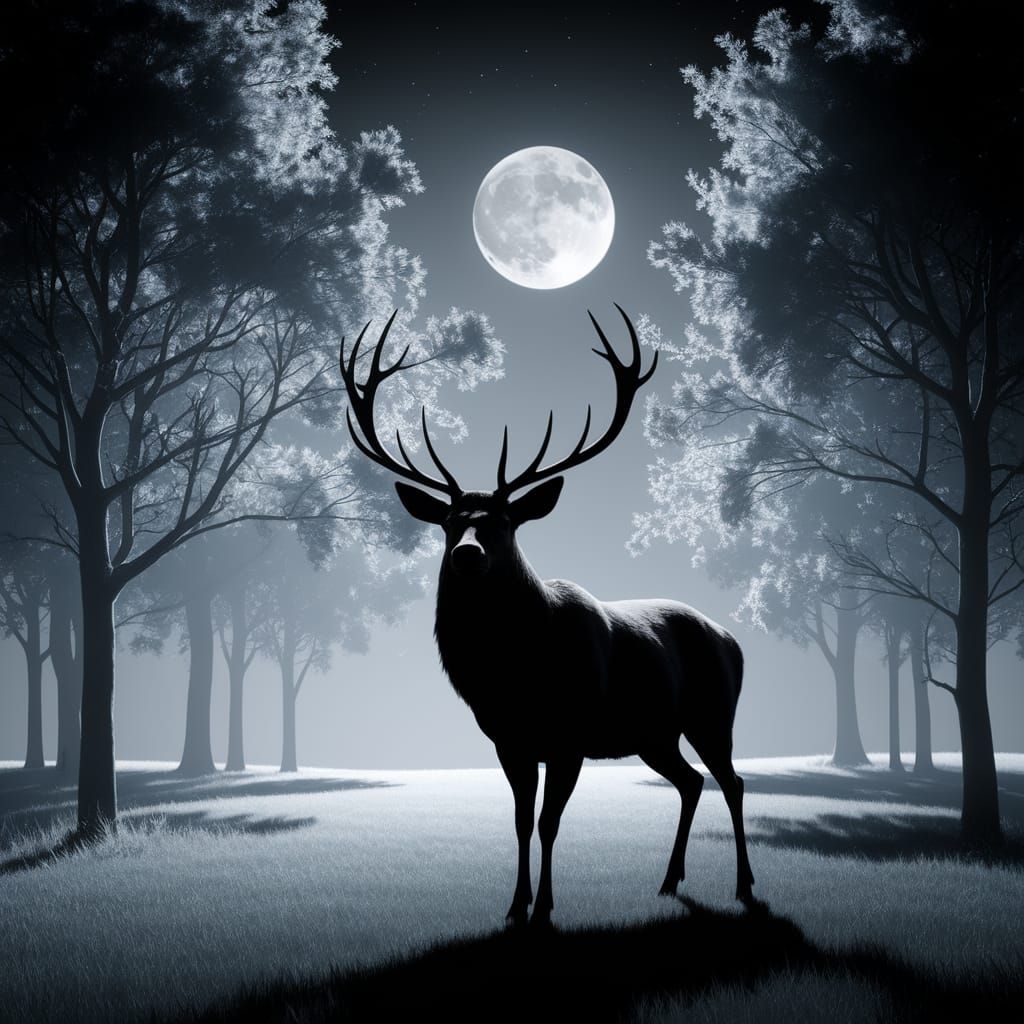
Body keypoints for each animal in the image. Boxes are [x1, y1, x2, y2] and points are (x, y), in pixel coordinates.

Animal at [339, 304, 755, 926]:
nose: (467, 554)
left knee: (733, 780)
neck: (515, 672)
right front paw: (515, 905)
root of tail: (733, 640)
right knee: (691, 781)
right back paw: (668, 882)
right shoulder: (508, 739)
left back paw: (745, 885)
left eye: (504, 523)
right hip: (653, 733)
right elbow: (518, 821)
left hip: (712, 712)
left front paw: (544, 910)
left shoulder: (569, 734)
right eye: (449, 523)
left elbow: (549, 821)